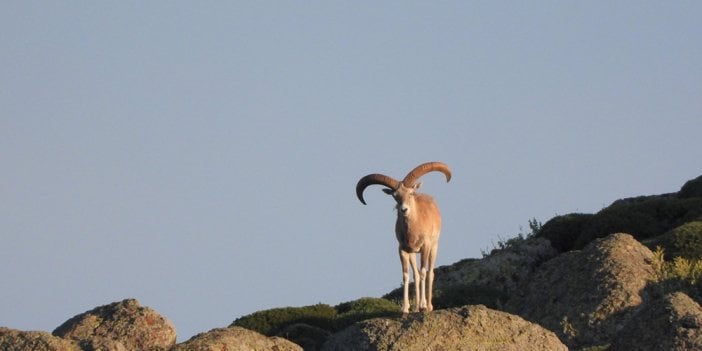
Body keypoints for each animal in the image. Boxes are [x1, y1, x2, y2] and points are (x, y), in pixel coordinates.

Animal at [358, 162, 452, 314]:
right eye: (395, 196)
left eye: (411, 193)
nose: (404, 209)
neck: (414, 230)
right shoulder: (403, 249)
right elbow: (406, 275)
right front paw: (405, 308)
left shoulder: (425, 246)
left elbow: (424, 272)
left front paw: (423, 306)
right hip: (413, 254)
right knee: (416, 275)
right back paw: (416, 307)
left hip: (434, 247)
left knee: (430, 273)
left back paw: (428, 306)